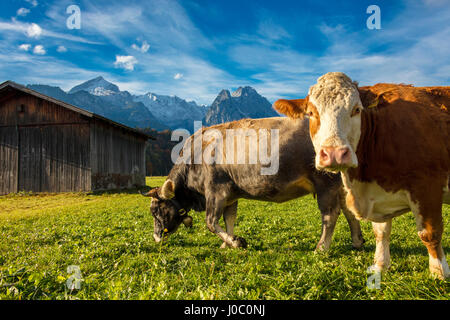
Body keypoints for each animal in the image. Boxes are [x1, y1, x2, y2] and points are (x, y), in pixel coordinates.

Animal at [142, 116, 364, 251]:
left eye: (156, 211)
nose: (155, 237)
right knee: (348, 210)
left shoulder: (215, 190)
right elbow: (229, 219)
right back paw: (357, 241)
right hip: (340, 184)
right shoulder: (230, 195)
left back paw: (322, 247)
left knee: (330, 214)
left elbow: (211, 222)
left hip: (325, 181)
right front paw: (227, 244)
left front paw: (236, 242)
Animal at [274, 72, 450, 278]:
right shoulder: (377, 193)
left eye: (356, 110)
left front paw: (439, 273)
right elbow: (381, 231)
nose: (334, 153)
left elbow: (430, 232)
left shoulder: (427, 186)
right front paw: (380, 265)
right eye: (311, 113)